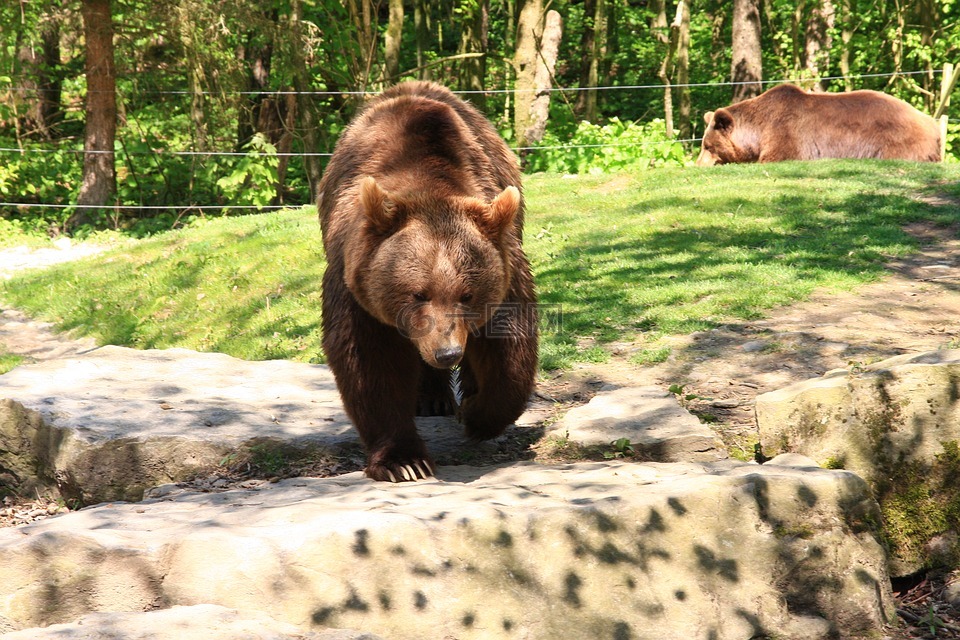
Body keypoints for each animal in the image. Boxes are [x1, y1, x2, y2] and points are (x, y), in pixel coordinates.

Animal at [316, 80, 536, 482]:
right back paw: (432, 399)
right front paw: (404, 461)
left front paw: (477, 415)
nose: (447, 352)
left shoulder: (504, 262)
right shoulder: (356, 283)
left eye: (467, 295)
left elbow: (509, 346)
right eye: (417, 294)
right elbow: (370, 361)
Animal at [692, 84, 940, 166]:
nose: (698, 164)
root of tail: (931, 123)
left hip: (895, 141)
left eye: (707, 146)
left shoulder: (786, 133)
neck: (757, 131)